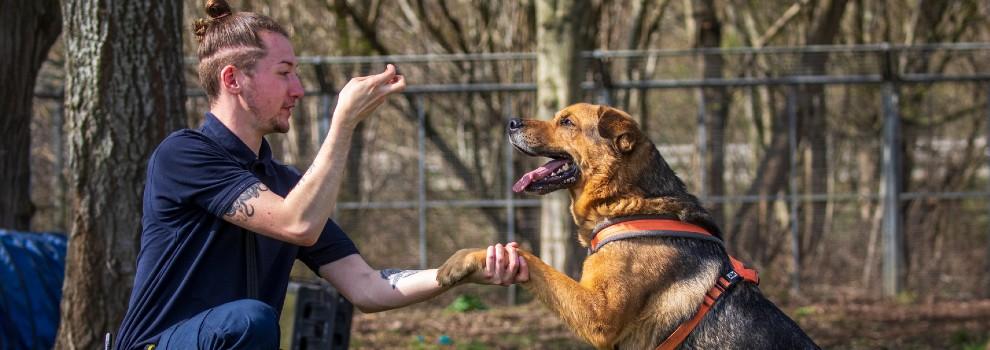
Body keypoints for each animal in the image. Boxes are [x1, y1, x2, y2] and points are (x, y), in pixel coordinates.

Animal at [438, 102, 816, 348]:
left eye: (567, 122)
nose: (512, 122)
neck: (625, 202)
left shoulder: (599, 316)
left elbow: (533, 260)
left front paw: (463, 261)